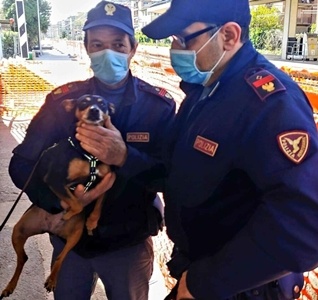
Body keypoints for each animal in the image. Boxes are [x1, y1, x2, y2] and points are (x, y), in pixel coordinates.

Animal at [0, 94, 113, 298]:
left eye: (103, 104)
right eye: (83, 102)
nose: (94, 111)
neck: (89, 153)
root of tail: (50, 228)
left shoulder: (106, 180)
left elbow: (98, 203)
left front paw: (92, 222)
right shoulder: (56, 180)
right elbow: (77, 203)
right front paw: (69, 212)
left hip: (75, 235)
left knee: (60, 257)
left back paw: (52, 280)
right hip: (19, 230)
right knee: (23, 259)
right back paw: (10, 286)